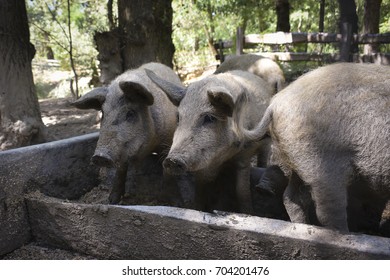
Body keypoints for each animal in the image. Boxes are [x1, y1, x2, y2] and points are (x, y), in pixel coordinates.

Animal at [72, 62, 182, 203]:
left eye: (130, 113)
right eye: (103, 113)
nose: (100, 156)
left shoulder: (167, 141)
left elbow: (167, 170)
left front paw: (174, 202)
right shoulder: (122, 151)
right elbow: (120, 170)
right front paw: (112, 200)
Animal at [145, 69, 272, 213]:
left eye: (209, 118)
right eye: (178, 117)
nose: (171, 160)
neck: (222, 158)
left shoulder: (244, 155)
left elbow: (242, 191)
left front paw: (248, 212)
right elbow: (200, 190)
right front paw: (199, 208)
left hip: (266, 144)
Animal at [233, 63, 388, 232]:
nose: (263, 188)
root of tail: (275, 104)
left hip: (299, 157)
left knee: (291, 197)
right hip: (322, 164)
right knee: (328, 211)